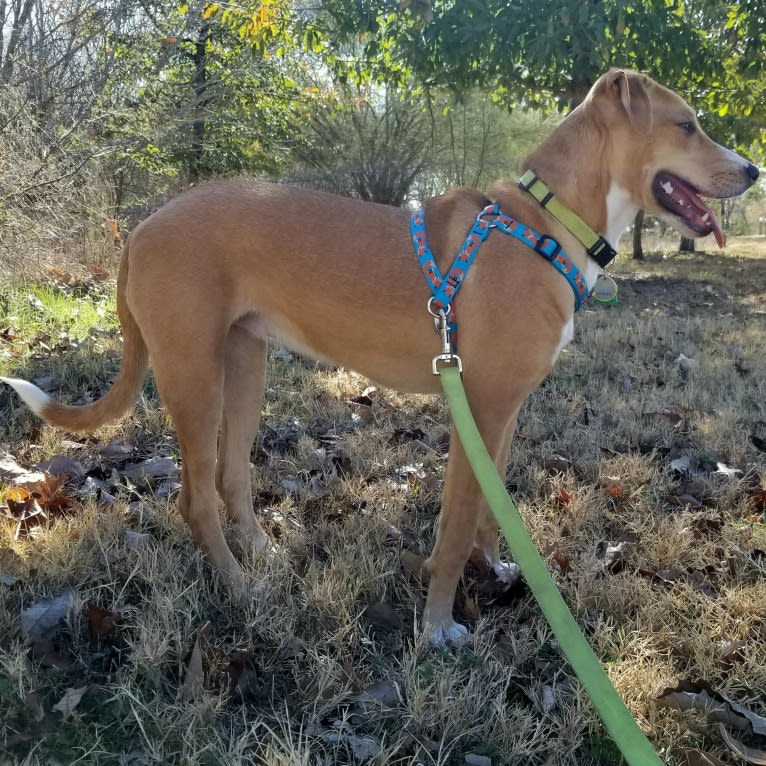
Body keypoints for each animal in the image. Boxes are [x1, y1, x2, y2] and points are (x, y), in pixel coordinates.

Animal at [1, 70, 760, 648]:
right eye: (686, 125)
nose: (753, 169)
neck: (546, 225)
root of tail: (141, 228)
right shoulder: (480, 406)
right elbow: (454, 525)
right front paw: (438, 628)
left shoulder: (502, 410)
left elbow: (488, 509)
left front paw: (496, 573)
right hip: (193, 374)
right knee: (194, 498)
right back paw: (240, 588)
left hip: (244, 366)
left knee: (231, 478)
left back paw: (265, 558)